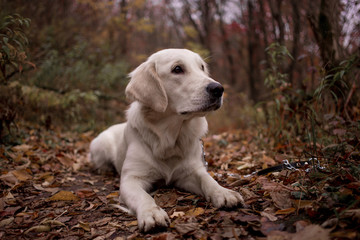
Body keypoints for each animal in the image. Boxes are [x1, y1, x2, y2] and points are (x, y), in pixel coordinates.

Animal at [89, 48, 245, 231]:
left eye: (201, 67)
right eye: (177, 69)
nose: (218, 89)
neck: (170, 137)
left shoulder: (190, 171)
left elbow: (208, 180)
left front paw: (223, 192)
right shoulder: (131, 179)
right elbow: (143, 196)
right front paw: (151, 213)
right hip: (99, 144)